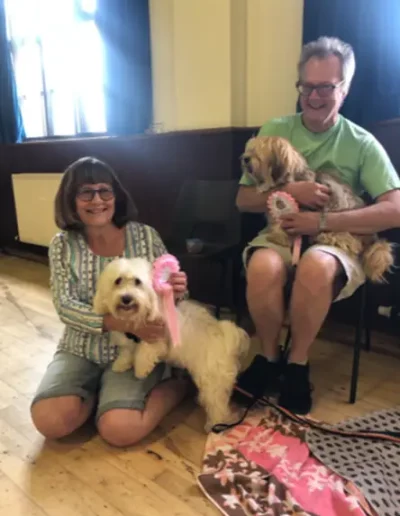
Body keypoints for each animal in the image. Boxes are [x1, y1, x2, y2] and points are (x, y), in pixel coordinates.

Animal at [94, 258, 250, 432]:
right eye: (118, 281)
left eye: (137, 282)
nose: (126, 298)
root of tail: (225, 335)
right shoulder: (129, 340)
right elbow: (127, 351)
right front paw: (121, 364)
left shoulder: (156, 338)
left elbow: (144, 352)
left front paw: (140, 369)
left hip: (212, 380)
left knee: (218, 405)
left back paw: (215, 425)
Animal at [242, 135, 392, 282]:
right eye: (249, 149)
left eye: (258, 153)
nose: (245, 158)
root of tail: (373, 239)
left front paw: (278, 236)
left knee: (351, 242)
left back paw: (327, 237)